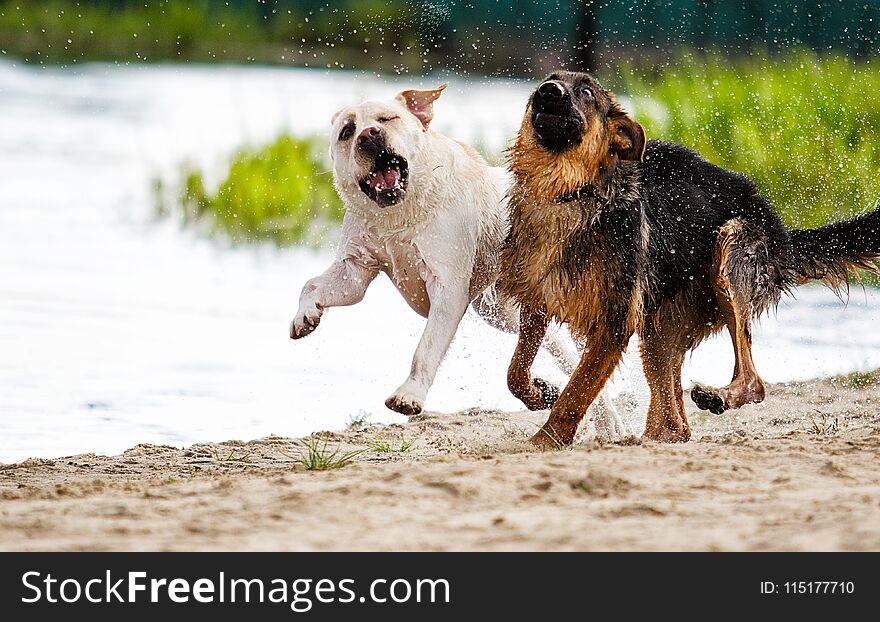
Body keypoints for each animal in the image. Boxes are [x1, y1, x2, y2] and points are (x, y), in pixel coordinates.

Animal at [290, 86, 624, 438]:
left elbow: (425, 349)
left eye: (387, 119)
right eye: (347, 131)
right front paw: (305, 317)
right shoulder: (355, 269)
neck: (399, 216)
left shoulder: (448, 288)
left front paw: (409, 395)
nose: (369, 135)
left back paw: (608, 421)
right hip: (500, 311)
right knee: (561, 352)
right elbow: (312, 285)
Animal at [502, 70, 880, 448]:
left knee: (753, 381)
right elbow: (515, 372)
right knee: (674, 424)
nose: (548, 90)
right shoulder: (537, 299)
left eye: (585, 92)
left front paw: (547, 440)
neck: (569, 192)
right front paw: (539, 392)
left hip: (729, 257)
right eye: (550, 80)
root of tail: (781, 231)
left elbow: (577, 391)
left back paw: (720, 396)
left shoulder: (614, 323)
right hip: (659, 331)